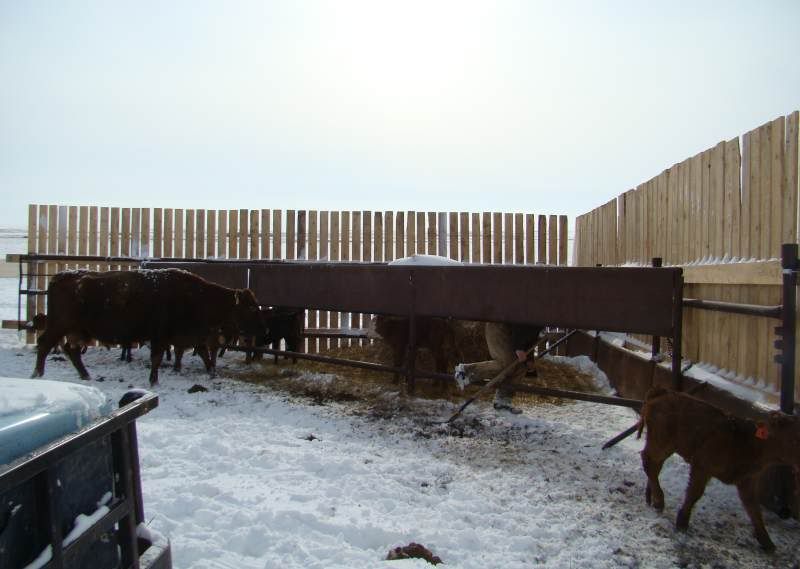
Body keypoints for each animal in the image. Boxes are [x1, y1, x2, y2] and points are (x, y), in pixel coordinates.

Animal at [31, 269, 266, 386]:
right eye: (251, 308)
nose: (263, 330)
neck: (195, 296)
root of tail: (60, 277)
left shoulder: (186, 337)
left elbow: (203, 354)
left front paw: (212, 373)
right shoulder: (160, 337)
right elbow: (157, 358)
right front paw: (154, 381)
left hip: (78, 331)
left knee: (70, 350)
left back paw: (85, 375)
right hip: (60, 326)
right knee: (45, 344)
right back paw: (37, 374)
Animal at [637, 387, 800, 552]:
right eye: (795, 437)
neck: (748, 443)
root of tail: (663, 392)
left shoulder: (747, 479)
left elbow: (753, 508)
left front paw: (767, 542)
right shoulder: (702, 465)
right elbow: (695, 493)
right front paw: (682, 522)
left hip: (663, 444)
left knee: (654, 465)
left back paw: (650, 496)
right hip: (661, 441)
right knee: (648, 461)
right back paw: (659, 500)